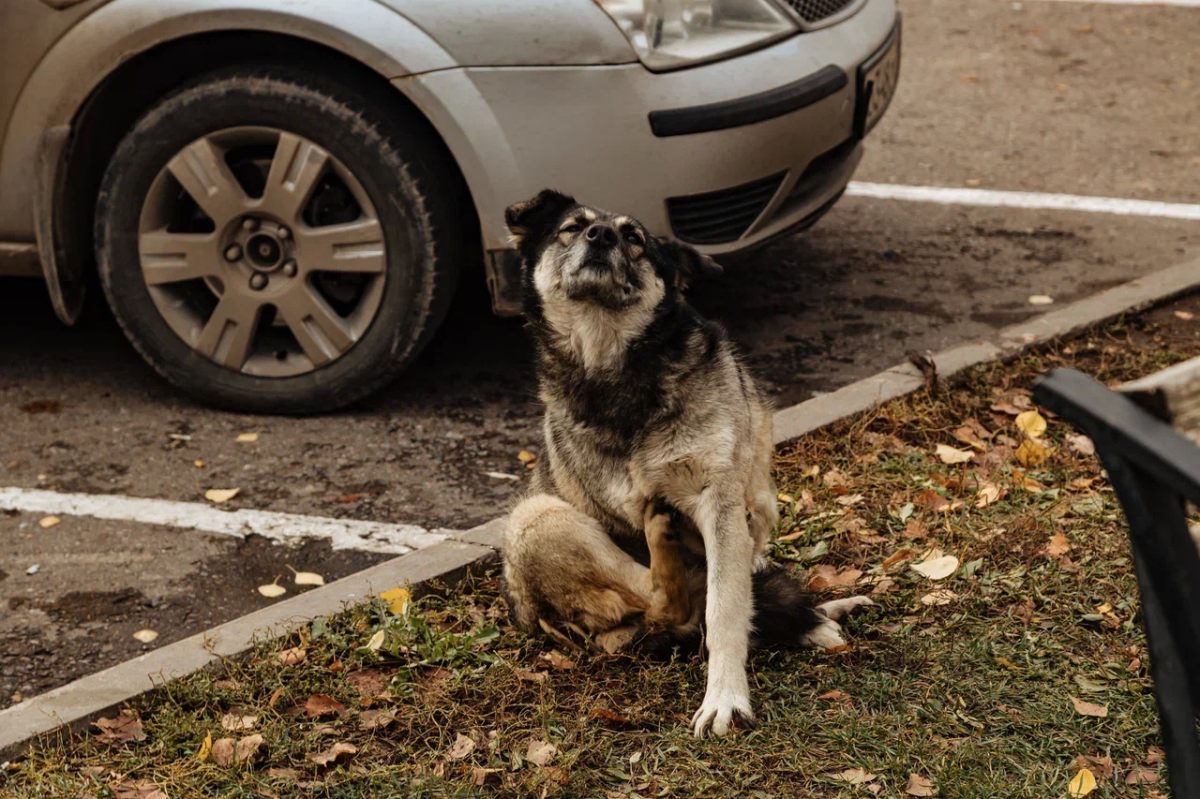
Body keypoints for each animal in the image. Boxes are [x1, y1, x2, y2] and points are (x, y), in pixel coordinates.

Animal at [496, 188, 873, 734]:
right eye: (571, 228)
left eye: (634, 238)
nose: (601, 236)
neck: (614, 367)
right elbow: (713, 601)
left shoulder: (718, 502)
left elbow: (726, 606)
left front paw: (725, 695)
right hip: (535, 516)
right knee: (662, 601)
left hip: (759, 501)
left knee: (699, 596)